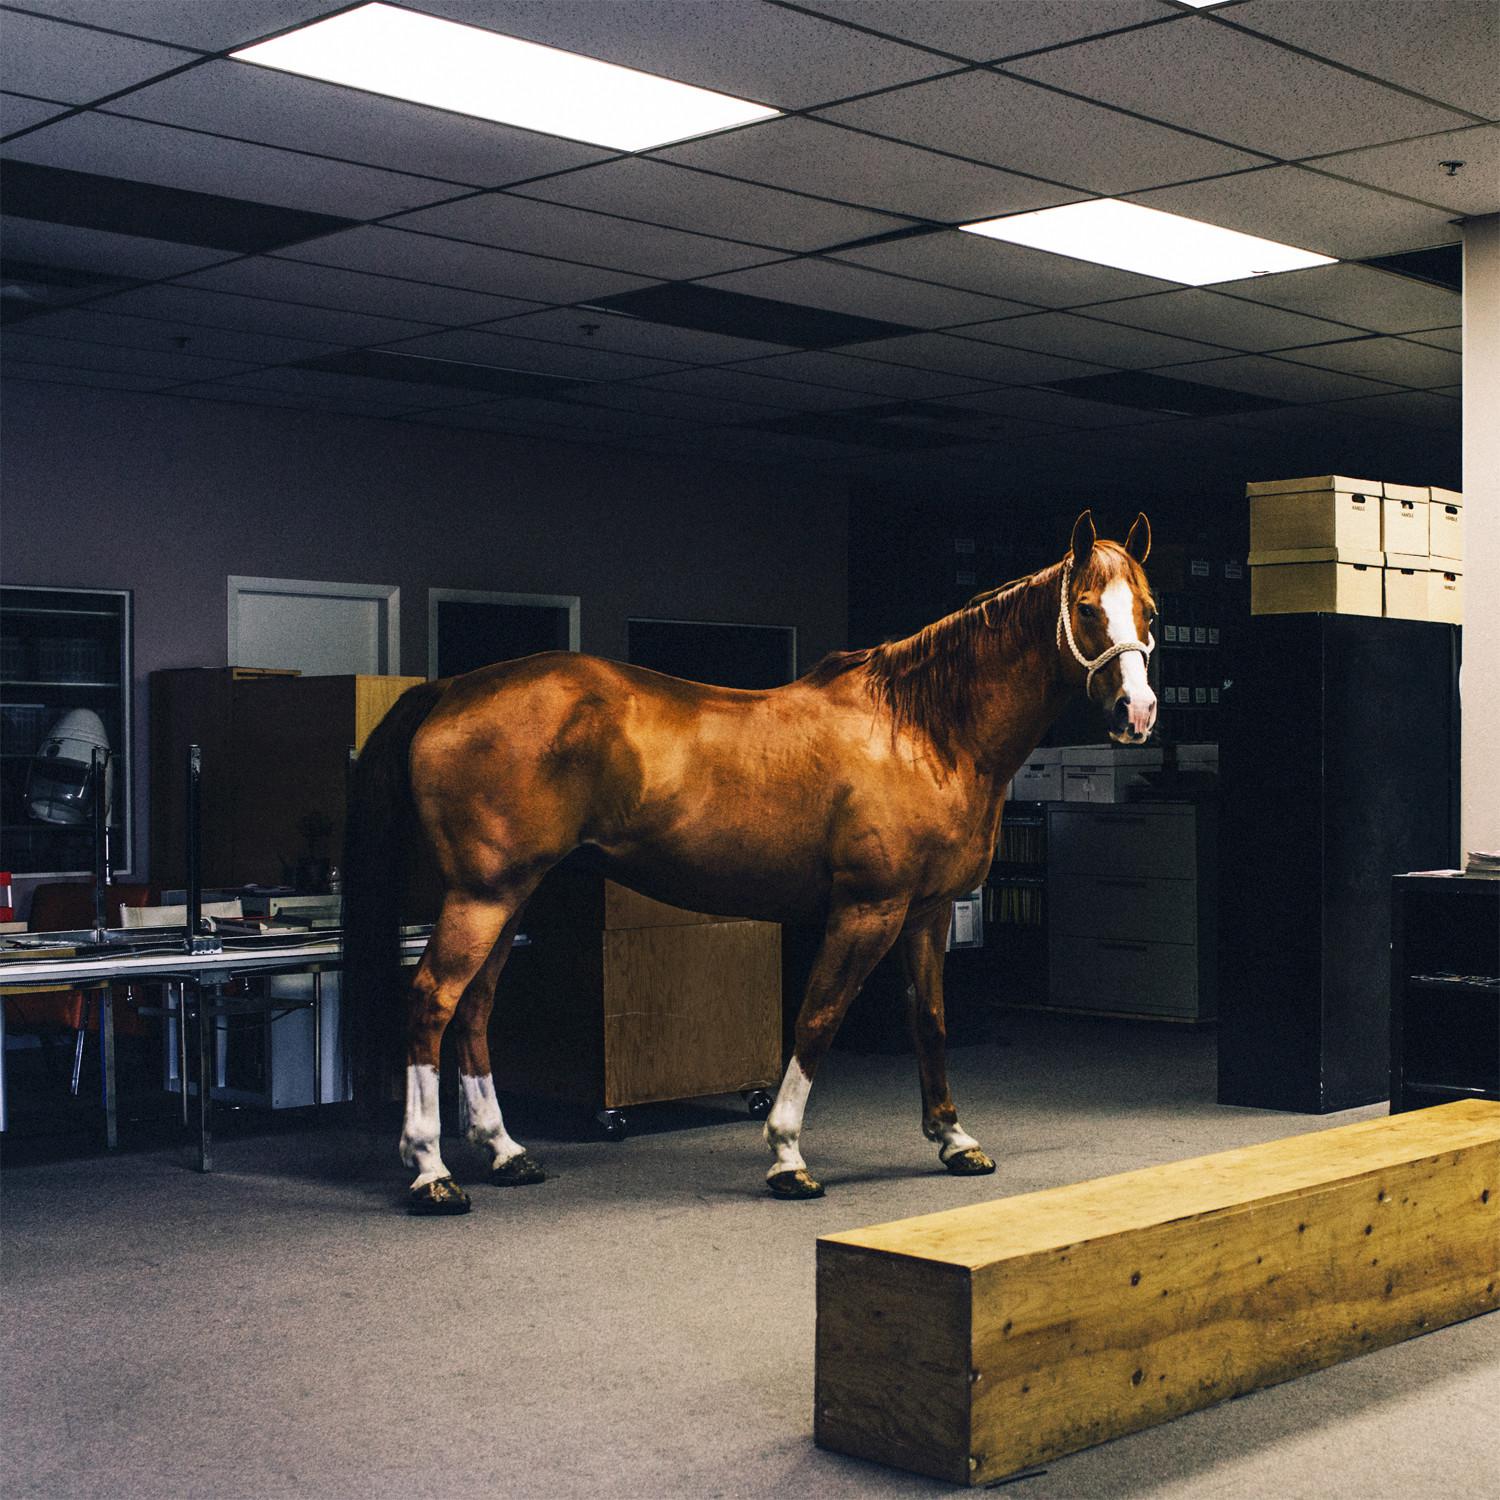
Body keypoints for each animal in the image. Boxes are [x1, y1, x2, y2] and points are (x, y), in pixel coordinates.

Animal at [345, 510, 1152, 1212]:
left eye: (1148, 608)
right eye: (1086, 608)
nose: (1137, 714)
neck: (920, 729)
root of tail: (453, 687)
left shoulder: (926, 914)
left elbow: (930, 1018)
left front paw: (954, 1139)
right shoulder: (868, 909)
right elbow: (818, 1017)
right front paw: (787, 1155)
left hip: (510, 895)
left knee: (475, 1007)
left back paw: (505, 1152)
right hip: (481, 893)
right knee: (432, 1001)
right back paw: (432, 1171)